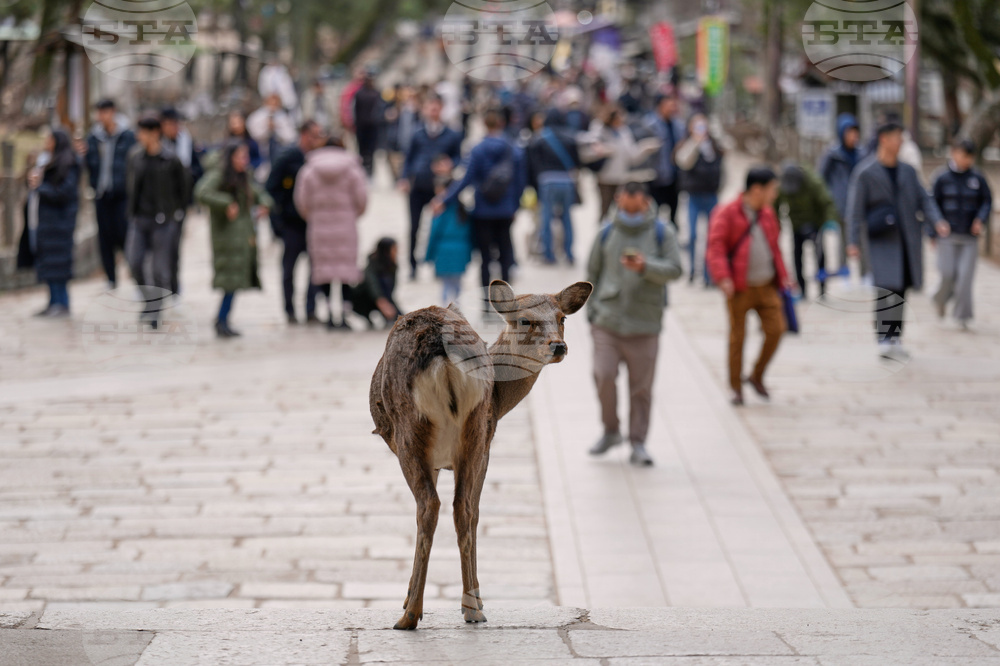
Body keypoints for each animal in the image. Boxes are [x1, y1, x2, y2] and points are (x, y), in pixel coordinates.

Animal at [369, 279, 592, 630]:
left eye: (562, 318)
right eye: (524, 319)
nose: (558, 346)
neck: (500, 400)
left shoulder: (471, 448)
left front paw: (410, 598)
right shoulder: (483, 441)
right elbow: (472, 512)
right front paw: (472, 600)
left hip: (413, 433)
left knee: (432, 506)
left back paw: (412, 614)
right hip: (473, 430)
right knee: (461, 507)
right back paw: (470, 608)